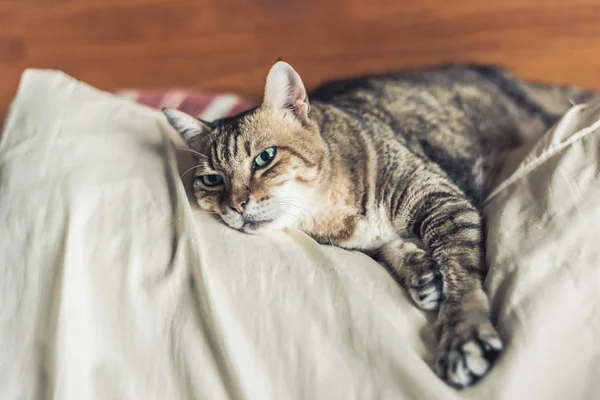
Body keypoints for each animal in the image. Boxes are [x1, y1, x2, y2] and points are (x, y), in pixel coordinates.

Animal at [161, 61, 596, 388]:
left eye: (264, 158)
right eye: (211, 180)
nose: (236, 205)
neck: (331, 213)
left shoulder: (442, 200)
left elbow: (460, 275)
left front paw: (463, 333)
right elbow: (387, 249)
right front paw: (421, 271)